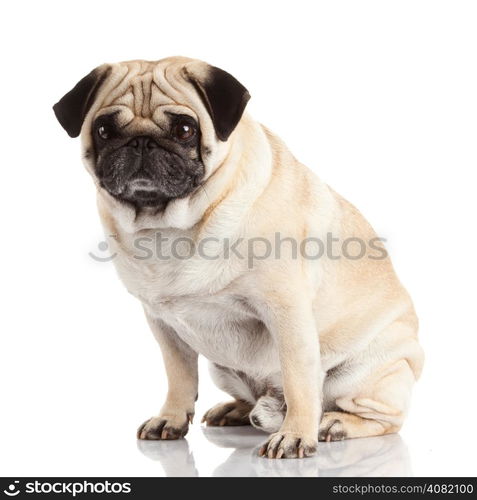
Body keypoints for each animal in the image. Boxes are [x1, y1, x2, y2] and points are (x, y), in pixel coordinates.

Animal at [54, 56, 422, 458]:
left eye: (185, 130)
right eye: (104, 130)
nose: (141, 142)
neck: (169, 228)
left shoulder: (287, 312)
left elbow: (299, 379)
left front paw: (296, 435)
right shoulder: (163, 325)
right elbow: (178, 375)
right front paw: (170, 418)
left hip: (361, 374)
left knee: (382, 419)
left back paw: (333, 424)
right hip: (223, 368)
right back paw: (236, 410)